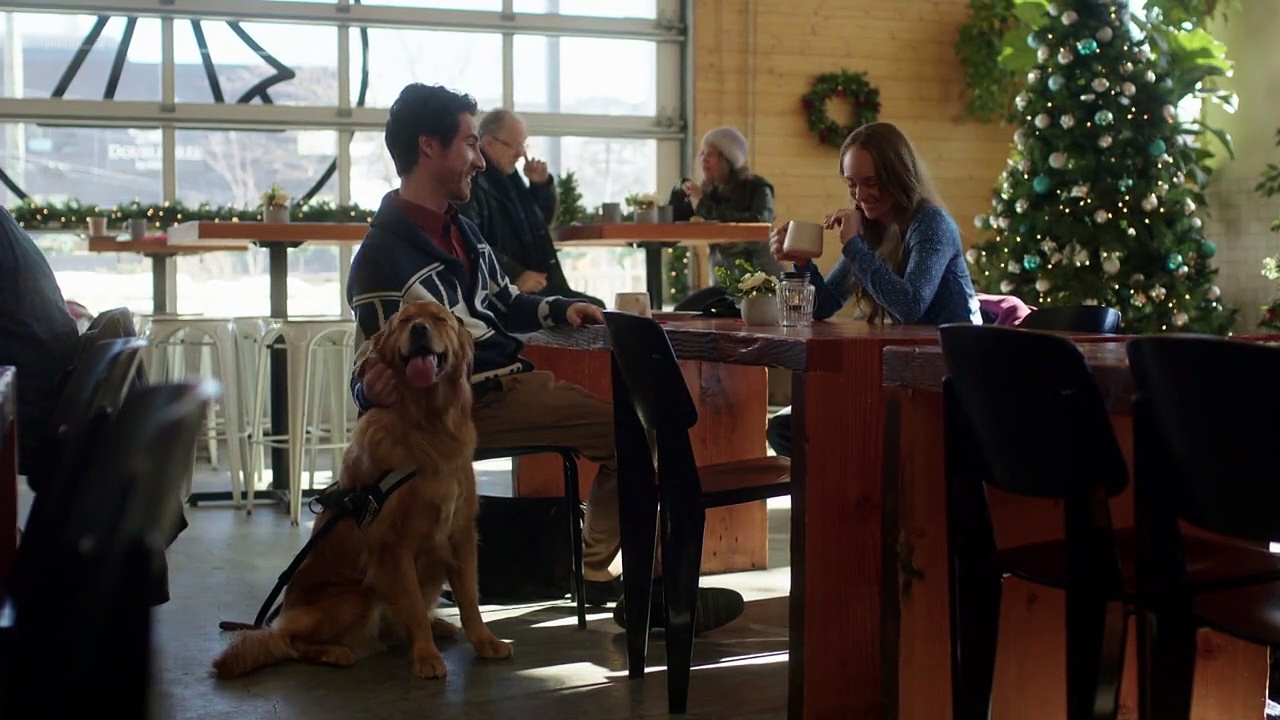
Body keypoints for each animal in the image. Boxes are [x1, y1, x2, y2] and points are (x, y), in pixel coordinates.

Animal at [212, 300, 512, 679]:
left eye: (438, 318)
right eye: (405, 321)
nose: (419, 329)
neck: (426, 424)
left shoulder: (460, 533)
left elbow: (470, 599)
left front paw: (485, 641)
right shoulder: (393, 545)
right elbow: (414, 606)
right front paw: (426, 657)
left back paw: (437, 626)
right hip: (355, 598)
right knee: (289, 642)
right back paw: (334, 652)